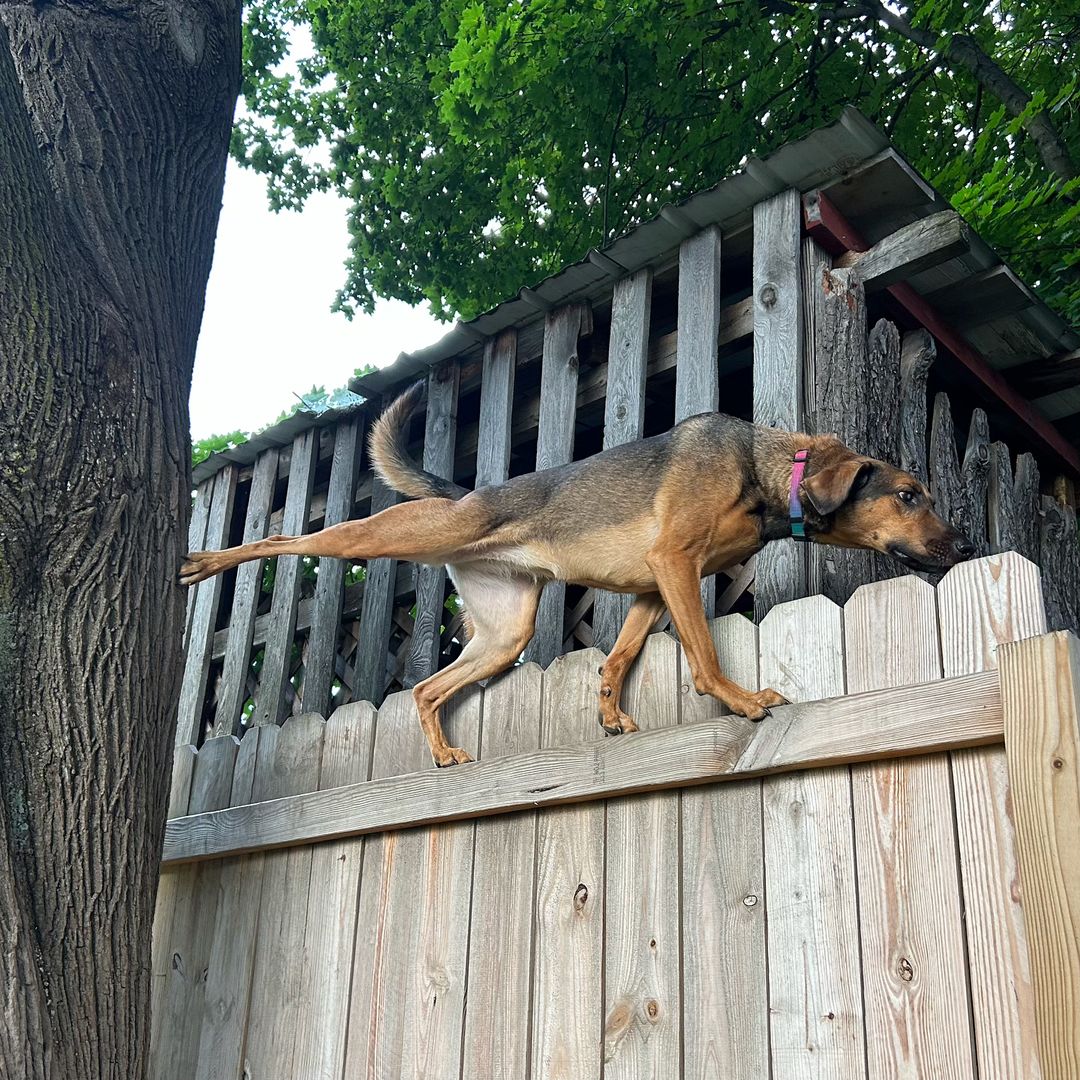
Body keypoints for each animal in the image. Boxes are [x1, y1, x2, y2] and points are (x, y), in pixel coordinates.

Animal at [181, 380, 976, 768]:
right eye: (910, 494)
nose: (964, 546)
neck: (766, 470)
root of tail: (464, 496)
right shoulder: (674, 564)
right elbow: (704, 652)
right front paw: (741, 701)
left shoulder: (654, 585)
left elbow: (618, 656)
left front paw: (610, 712)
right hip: (395, 534)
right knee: (289, 537)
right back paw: (206, 561)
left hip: (505, 629)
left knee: (428, 691)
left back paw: (443, 752)